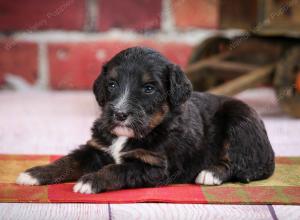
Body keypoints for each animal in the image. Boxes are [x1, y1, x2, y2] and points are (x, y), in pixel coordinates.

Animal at [15, 46, 274, 194]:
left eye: (149, 88)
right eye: (112, 84)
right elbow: (68, 161)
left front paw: (91, 180)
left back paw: (210, 173)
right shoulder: (96, 148)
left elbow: (118, 168)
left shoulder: (155, 166)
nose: (119, 114)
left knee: (241, 164)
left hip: (239, 118)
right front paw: (35, 173)